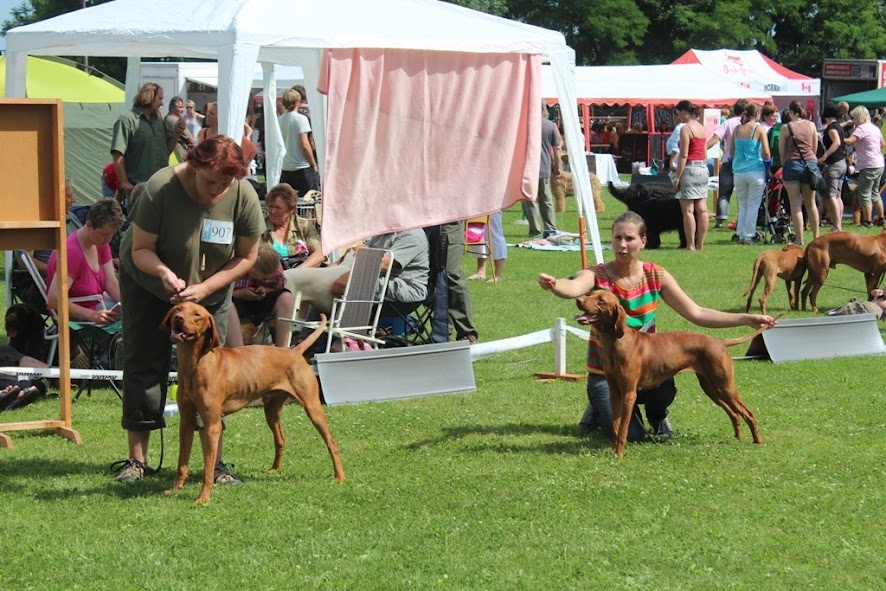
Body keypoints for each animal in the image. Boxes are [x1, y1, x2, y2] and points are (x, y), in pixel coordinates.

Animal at [161, 301, 344, 504]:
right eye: (178, 308)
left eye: (197, 314)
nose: (178, 318)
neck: (194, 365)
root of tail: (294, 352)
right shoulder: (186, 422)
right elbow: (182, 463)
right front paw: (175, 490)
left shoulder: (212, 425)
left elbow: (208, 468)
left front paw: (203, 497)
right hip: (271, 410)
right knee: (280, 438)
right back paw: (275, 469)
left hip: (313, 408)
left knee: (332, 443)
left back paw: (340, 477)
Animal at [576, 291, 764, 458]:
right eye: (590, 294)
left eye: (601, 300)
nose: (578, 300)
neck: (616, 343)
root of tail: (719, 342)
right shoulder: (615, 393)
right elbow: (615, 426)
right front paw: (613, 451)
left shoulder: (629, 394)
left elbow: (623, 430)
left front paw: (619, 454)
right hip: (711, 388)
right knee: (734, 413)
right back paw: (738, 438)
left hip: (725, 386)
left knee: (748, 413)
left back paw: (758, 441)